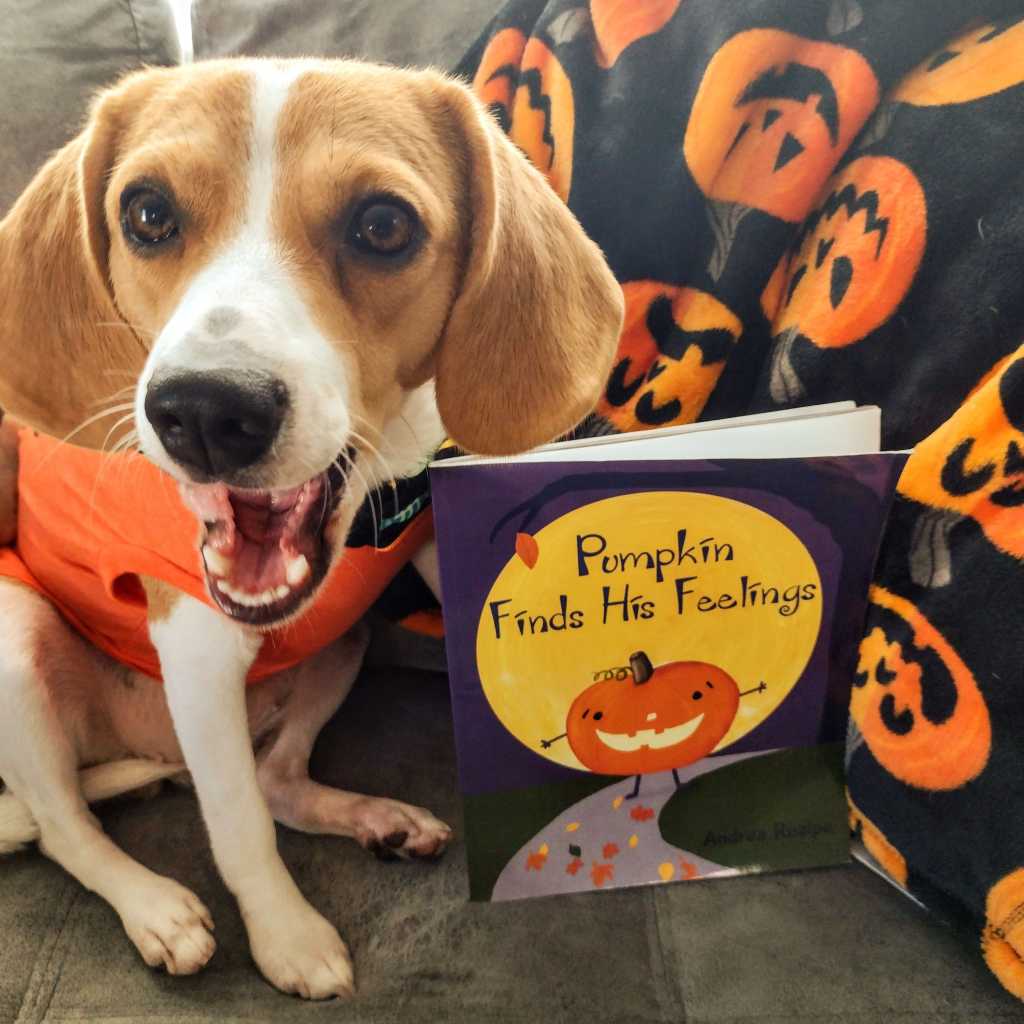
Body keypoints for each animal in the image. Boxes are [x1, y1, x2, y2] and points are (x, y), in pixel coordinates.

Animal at [0, 57, 623, 999]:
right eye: (146, 213)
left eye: (383, 225)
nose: (206, 413)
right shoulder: (197, 650)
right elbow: (238, 829)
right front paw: (286, 936)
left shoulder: (425, 540)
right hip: (16, 635)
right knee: (67, 826)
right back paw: (153, 906)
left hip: (342, 639)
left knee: (277, 778)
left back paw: (372, 818)